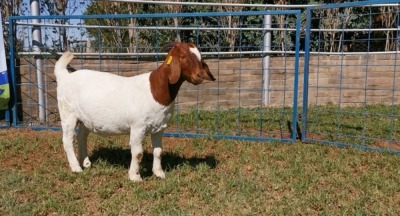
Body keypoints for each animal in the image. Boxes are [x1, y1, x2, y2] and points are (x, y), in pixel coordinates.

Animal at [54, 41, 216, 181]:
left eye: (200, 57)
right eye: (183, 56)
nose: (199, 76)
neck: (155, 90)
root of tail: (64, 76)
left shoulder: (159, 127)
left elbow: (158, 151)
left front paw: (159, 173)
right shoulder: (138, 126)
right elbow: (138, 153)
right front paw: (135, 176)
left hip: (85, 118)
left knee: (82, 136)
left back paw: (86, 162)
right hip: (67, 112)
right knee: (67, 140)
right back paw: (76, 167)